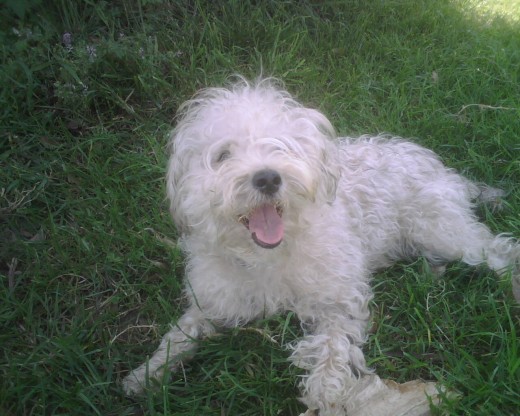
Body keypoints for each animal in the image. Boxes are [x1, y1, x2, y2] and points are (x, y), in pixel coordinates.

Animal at [125, 77, 520, 412]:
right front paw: (145, 374)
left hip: (440, 229)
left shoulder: (338, 298)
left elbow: (332, 345)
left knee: (501, 249)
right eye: (223, 155)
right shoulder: (211, 302)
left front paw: (325, 392)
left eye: (282, 147)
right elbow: (180, 334)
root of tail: (443, 169)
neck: (270, 255)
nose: (267, 178)